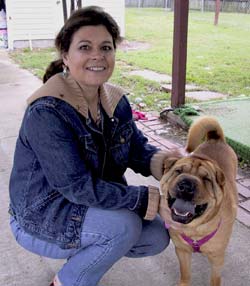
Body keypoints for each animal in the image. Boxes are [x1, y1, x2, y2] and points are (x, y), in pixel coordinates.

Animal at [160, 116, 238, 286]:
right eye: (178, 171)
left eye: (206, 179)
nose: (186, 186)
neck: (194, 229)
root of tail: (216, 138)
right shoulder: (182, 251)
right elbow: (185, 273)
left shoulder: (216, 259)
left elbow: (215, 279)